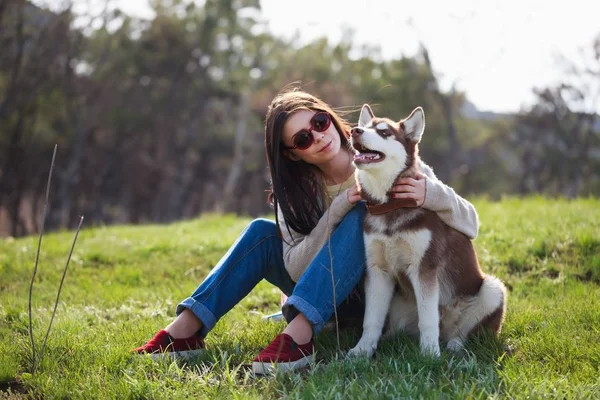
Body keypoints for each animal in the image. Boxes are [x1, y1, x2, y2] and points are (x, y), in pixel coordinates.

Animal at [346, 104, 506, 358]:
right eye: (366, 126)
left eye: (384, 132)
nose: (355, 131)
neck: (390, 205)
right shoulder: (378, 270)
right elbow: (371, 319)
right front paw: (362, 350)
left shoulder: (425, 268)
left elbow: (428, 319)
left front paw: (430, 355)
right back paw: (390, 338)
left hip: (492, 290)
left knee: (466, 333)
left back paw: (454, 345)